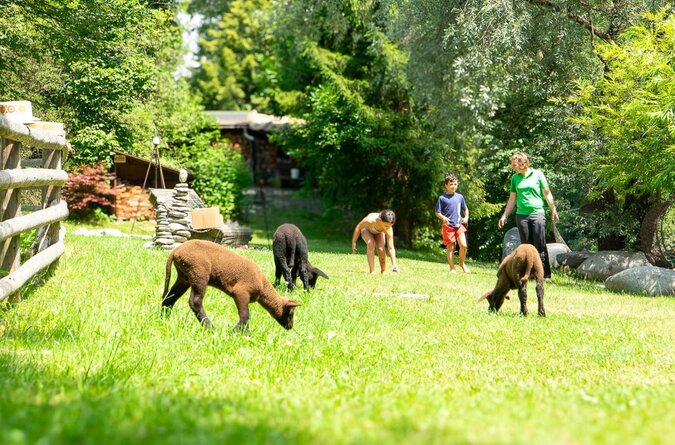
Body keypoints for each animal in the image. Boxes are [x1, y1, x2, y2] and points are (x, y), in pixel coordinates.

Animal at [162, 240, 301, 330]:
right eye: (291, 313)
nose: (290, 327)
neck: (263, 288)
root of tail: (176, 251)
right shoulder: (241, 292)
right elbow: (245, 315)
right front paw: (240, 332)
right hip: (199, 274)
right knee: (195, 302)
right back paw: (210, 327)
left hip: (184, 277)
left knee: (169, 298)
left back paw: (164, 319)